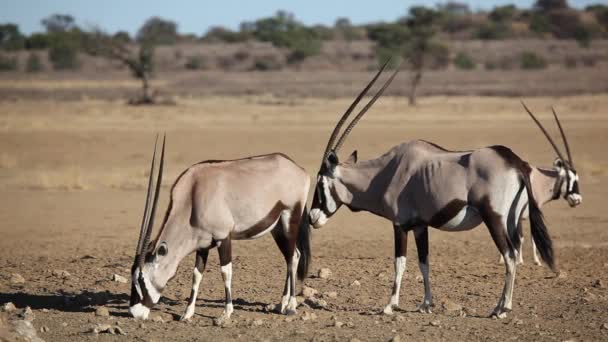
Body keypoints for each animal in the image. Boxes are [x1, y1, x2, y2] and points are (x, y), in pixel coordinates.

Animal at [126, 135, 312, 324]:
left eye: (141, 280)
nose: (134, 313)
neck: (193, 195)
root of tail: (298, 169)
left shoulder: (223, 237)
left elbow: (225, 272)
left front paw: (225, 313)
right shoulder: (202, 244)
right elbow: (196, 275)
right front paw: (187, 313)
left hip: (290, 218)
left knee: (292, 257)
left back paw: (290, 306)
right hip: (277, 227)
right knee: (292, 256)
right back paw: (282, 304)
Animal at [312, 60, 560, 318]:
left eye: (320, 183)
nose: (312, 218)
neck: (386, 172)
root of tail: (515, 162)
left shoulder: (399, 224)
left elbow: (399, 262)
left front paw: (390, 305)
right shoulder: (421, 226)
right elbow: (424, 262)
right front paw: (425, 304)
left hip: (494, 219)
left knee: (510, 256)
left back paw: (502, 308)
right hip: (512, 220)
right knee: (514, 252)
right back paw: (499, 305)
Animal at [502, 103, 580, 266]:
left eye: (577, 177)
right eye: (568, 178)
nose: (577, 200)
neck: (538, 179)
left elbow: (531, 237)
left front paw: (535, 260)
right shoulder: (521, 213)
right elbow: (522, 237)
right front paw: (521, 260)